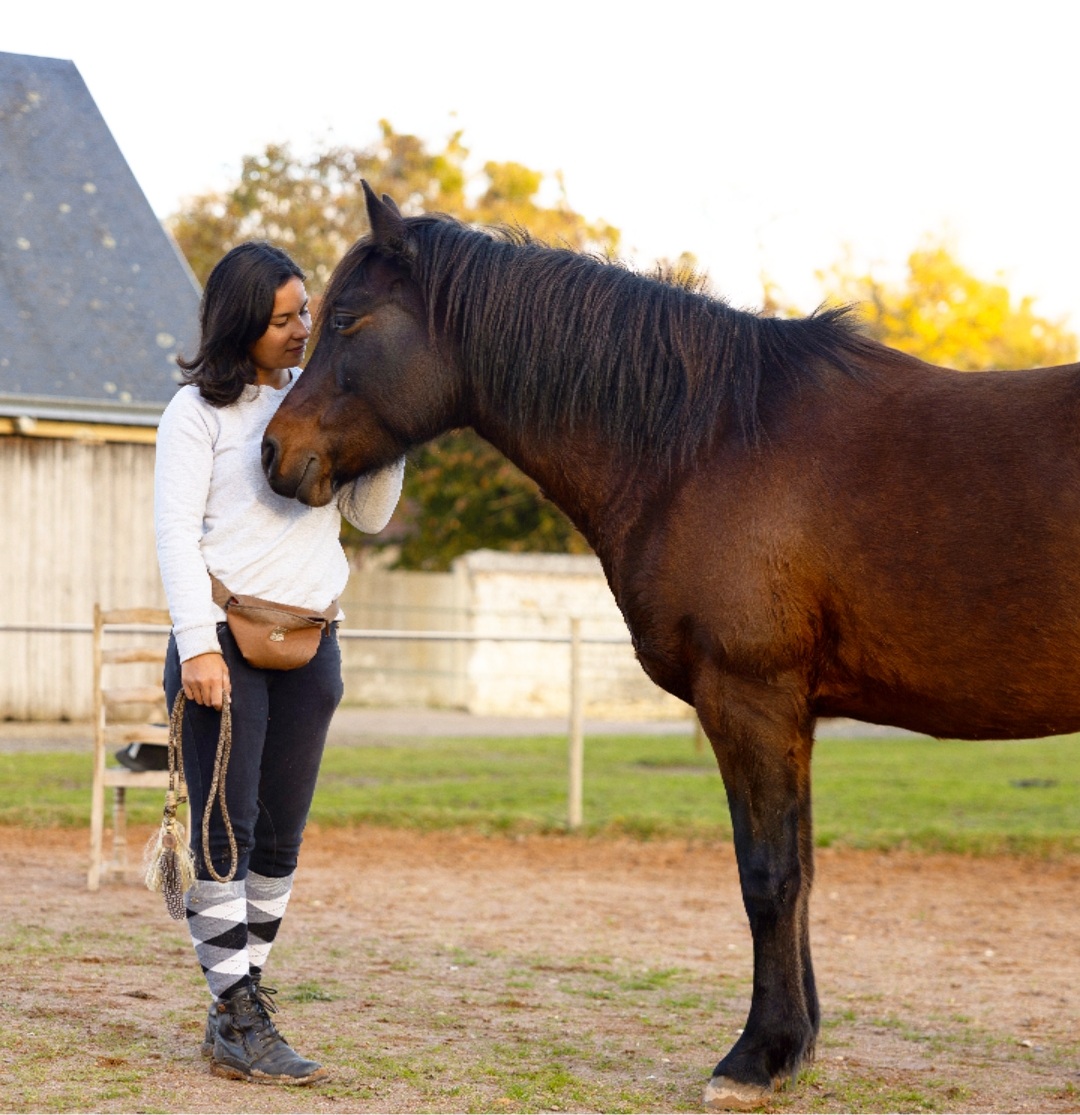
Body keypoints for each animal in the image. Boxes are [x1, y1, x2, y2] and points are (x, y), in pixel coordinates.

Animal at [263, 182, 1080, 1109]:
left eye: (346, 321)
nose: (276, 453)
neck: (707, 442)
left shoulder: (750, 698)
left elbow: (769, 877)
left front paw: (756, 1056)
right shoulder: (791, 714)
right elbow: (800, 870)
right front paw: (796, 1045)